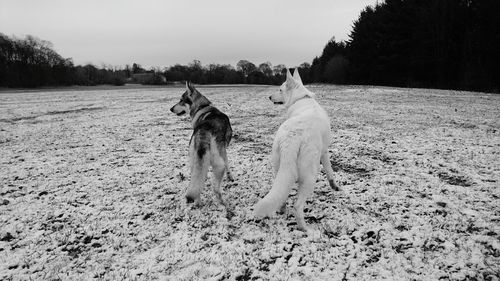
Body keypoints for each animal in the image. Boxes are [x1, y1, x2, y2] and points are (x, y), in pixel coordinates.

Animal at [254, 68, 340, 232]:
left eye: (280, 90)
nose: (269, 97)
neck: (301, 99)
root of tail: (291, 138)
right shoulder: (325, 151)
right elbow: (330, 170)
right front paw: (335, 186)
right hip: (310, 177)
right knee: (298, 206)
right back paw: (305, 229)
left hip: (279, 169)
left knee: (282, 195)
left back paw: (282, 209)